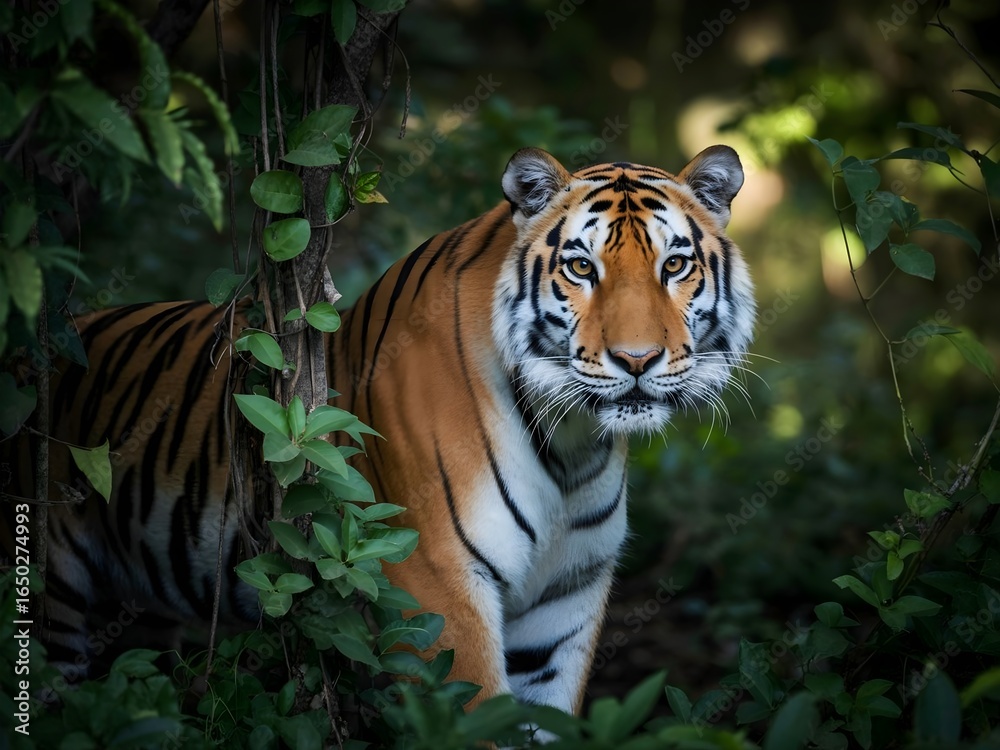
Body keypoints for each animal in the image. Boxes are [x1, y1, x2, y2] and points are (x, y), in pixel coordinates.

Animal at [2, 145, 755, 714]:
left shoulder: (565, 600)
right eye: (580, 267)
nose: (638, 360)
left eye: (674, 265)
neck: (572, 443)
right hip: (52, 607)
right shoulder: (435, 583)